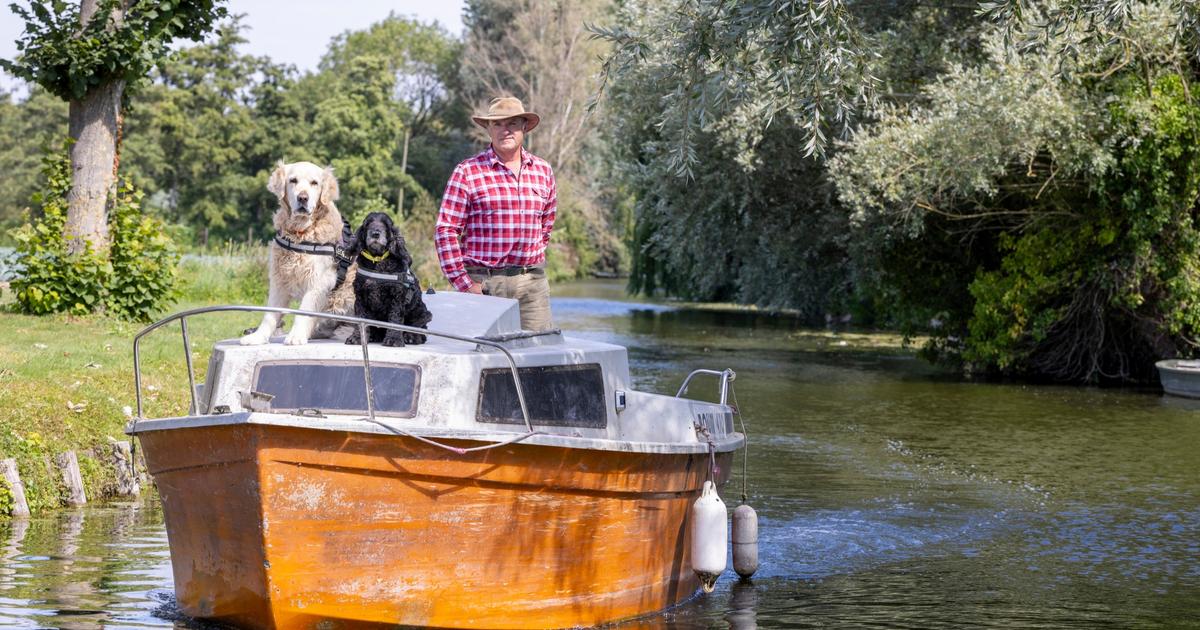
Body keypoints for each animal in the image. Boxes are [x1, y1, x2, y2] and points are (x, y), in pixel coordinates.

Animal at [240, 161, 356, 346]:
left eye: (314, 183)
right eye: (293, 180)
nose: (303, 198)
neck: (300, 233)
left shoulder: (318, 281)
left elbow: (304, 311)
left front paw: (296, 336)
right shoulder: (279, 279)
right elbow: (270, 314)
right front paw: (258, 336)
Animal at [345, 212, 432, 346]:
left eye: (386, 225)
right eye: (368, 224)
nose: (375, 234)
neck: (377, 261)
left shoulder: (396, 297)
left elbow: (395, 318)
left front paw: (394, 340)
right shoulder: (361, 297)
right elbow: (361, 318)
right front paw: (357, 338)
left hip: (423, 312)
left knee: (420, 330)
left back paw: (411, 337)